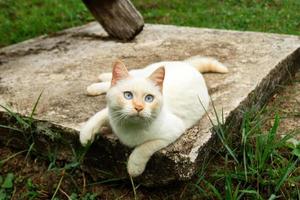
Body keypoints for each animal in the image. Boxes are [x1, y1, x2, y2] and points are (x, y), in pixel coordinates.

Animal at [79, 55, 227, 177]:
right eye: (128, 95)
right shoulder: (112, 112)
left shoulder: (172, 132)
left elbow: (144, 147)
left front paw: (134, 167)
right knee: (126, 75)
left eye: (149, 98)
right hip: (145, 70)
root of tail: (188, 66)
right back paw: (99, 82)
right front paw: (85, 137)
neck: (130, 127)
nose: (139, 107)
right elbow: (98, 116)